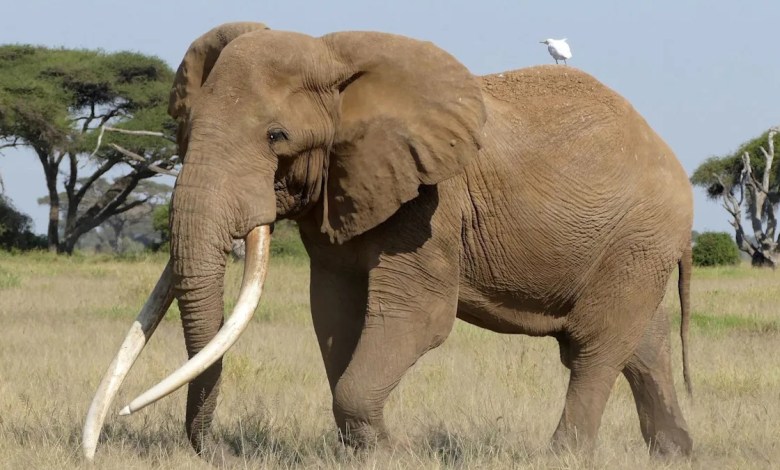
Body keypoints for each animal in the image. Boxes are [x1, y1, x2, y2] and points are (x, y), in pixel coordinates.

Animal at [83, 21, 694, 460]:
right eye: (185, 132)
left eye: (277, 136)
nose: (212, 452)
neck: (334, 60)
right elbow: (335, 313)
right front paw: (366, 451)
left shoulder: (432, 202)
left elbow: (416, 317)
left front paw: (394, 453)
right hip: (635, 247)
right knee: (643, 345)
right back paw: (675, 454)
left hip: (639, 238)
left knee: (595, 347)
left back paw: (562, 458)